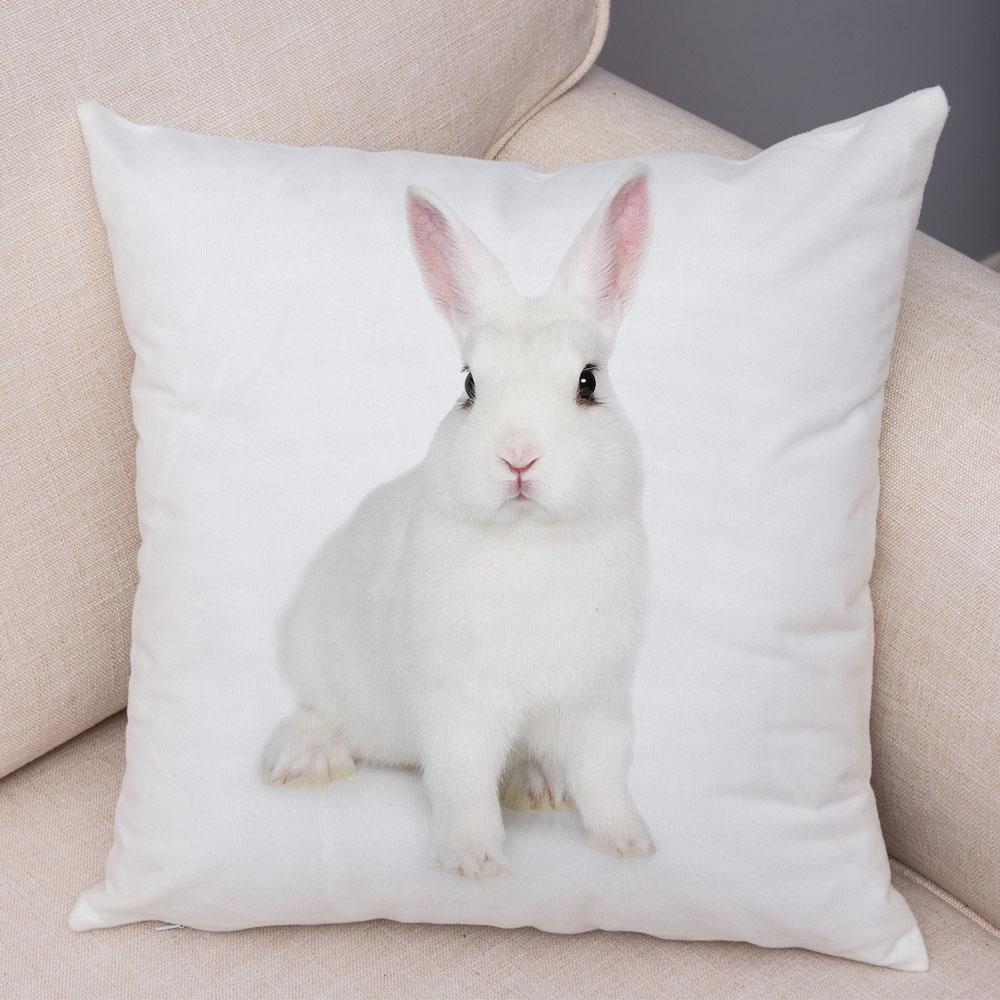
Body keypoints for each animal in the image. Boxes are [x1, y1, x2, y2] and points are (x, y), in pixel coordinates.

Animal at [261, 165, 655, 879]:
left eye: (588, 382)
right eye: (470, 386)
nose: (518, 456)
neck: (529, 540)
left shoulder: (596, 699)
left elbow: (606, 774)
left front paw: (629, 843)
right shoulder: (458, 702)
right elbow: (462, 779)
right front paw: (473, 861)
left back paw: (539, 786)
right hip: (318, 659)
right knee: (321, 710)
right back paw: (304, 758)